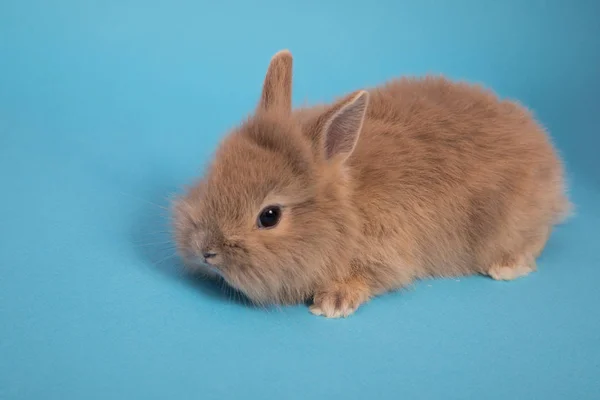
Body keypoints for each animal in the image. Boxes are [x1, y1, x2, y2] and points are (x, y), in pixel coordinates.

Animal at [171, 50, 568, 318]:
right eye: (213, 177)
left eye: (269, 216)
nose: (205, 251)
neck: (348, 209)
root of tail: (544, 149)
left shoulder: (387, 252)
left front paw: (333, 302)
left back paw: (506, 266)